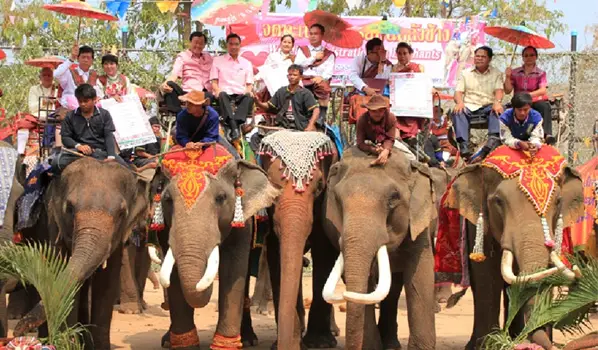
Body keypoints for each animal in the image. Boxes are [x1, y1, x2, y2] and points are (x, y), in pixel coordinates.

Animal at [14, 159, 151, 350]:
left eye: (121, 213)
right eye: (70, 209)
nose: (17, 331)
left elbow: (106, 282)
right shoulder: (54, 223)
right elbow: (62, 275)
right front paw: (67, 343)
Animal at [152, 147, 278, 350]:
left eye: (221, 198)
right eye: (168, 199)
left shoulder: (243, 220)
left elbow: (233, 270)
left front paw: (225, 345)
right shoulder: (165, 226)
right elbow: (173, 273)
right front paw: (186, 346)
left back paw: (248, 339)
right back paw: (167, 341)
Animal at [450, 146, 584, 350]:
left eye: (559, 201)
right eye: (498, 201)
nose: (550, 344)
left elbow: (545, 273)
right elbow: (487, 278)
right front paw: (490, 345)